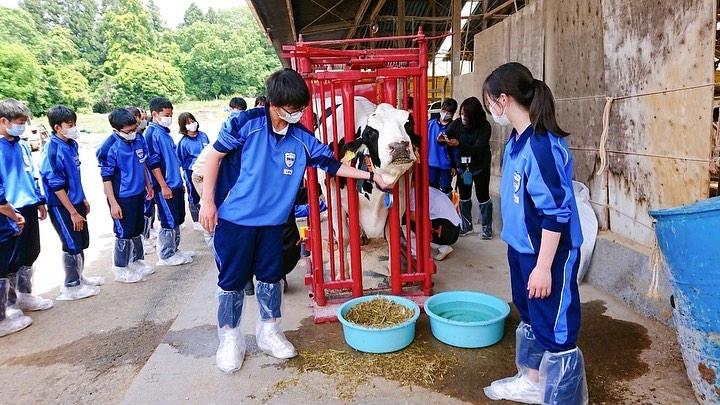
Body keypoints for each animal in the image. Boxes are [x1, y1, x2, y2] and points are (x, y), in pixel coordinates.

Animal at [318, 97, 420, 278]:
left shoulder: (400, 198)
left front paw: (394, 272)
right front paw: (343, 275)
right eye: (372, 132)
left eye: (408, 124)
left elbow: (392, 235)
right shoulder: (334, 196)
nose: (399, 146)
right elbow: (344, 236)